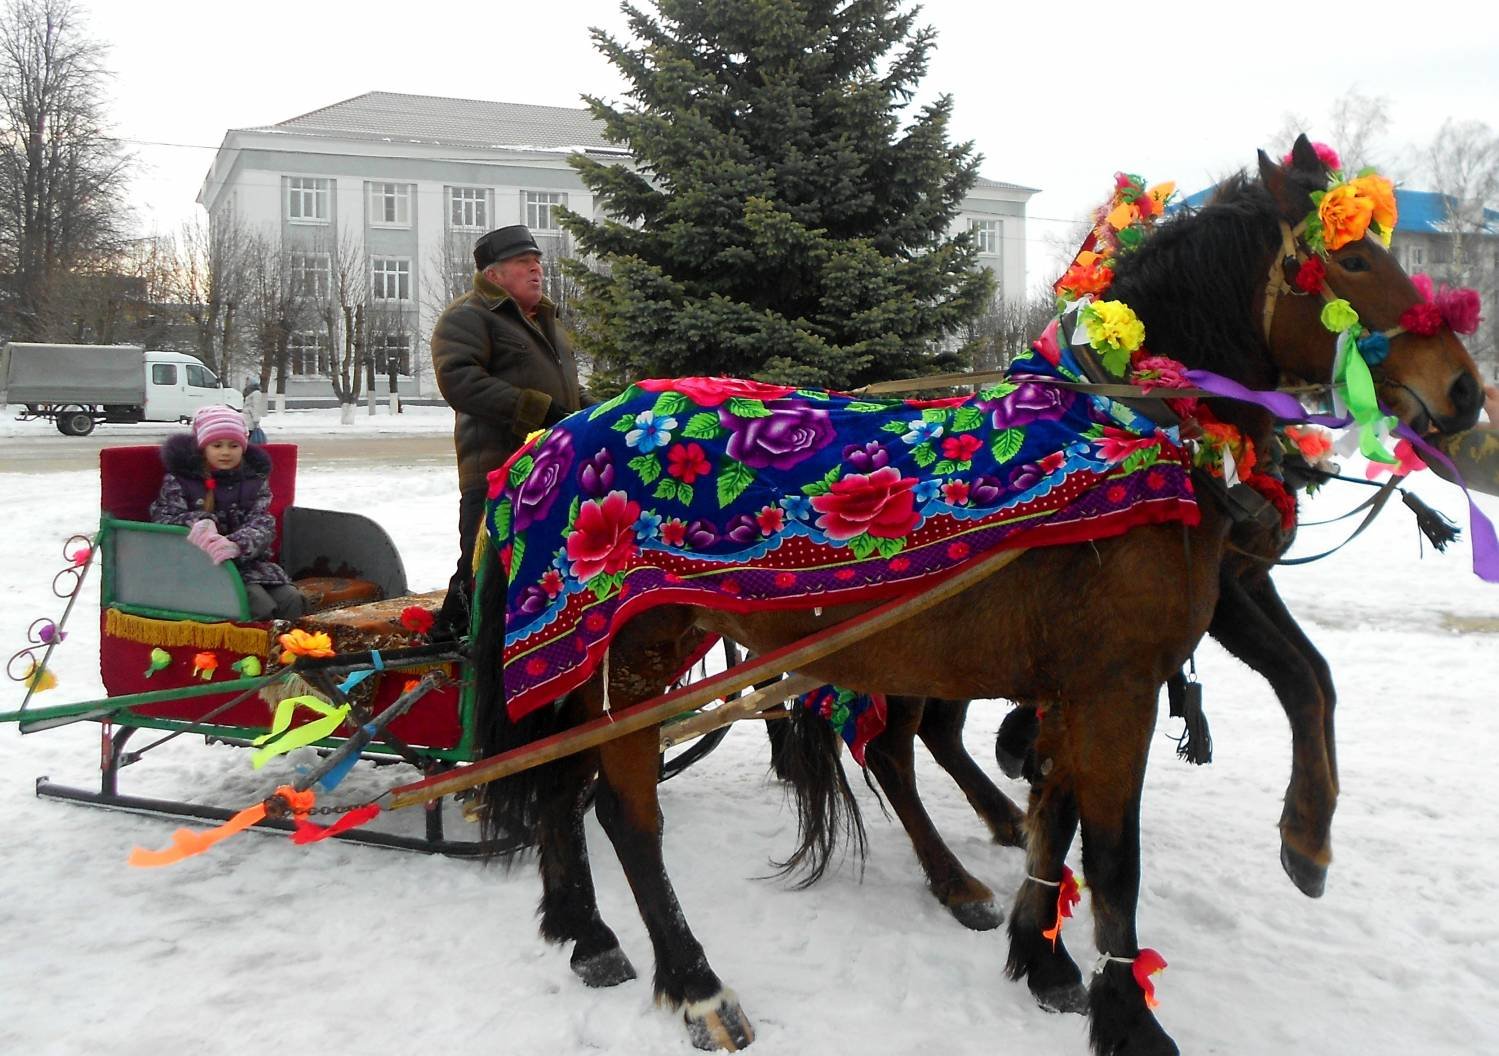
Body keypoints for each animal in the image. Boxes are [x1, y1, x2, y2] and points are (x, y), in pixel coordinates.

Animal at [473, 136, 1481, 1050]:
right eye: (1352, 258)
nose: (1467, 392)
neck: (1133, 437)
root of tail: (542, 449)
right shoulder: (1118, 685)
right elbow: (1114, 856)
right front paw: (1128, 1017)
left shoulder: (1079, 682)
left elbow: (1057, 821)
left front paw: (1041, 957)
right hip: (639, 652)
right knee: (628, 808)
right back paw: (695, 985)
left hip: (602, 657)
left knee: (563, 779)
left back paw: (586, 930)